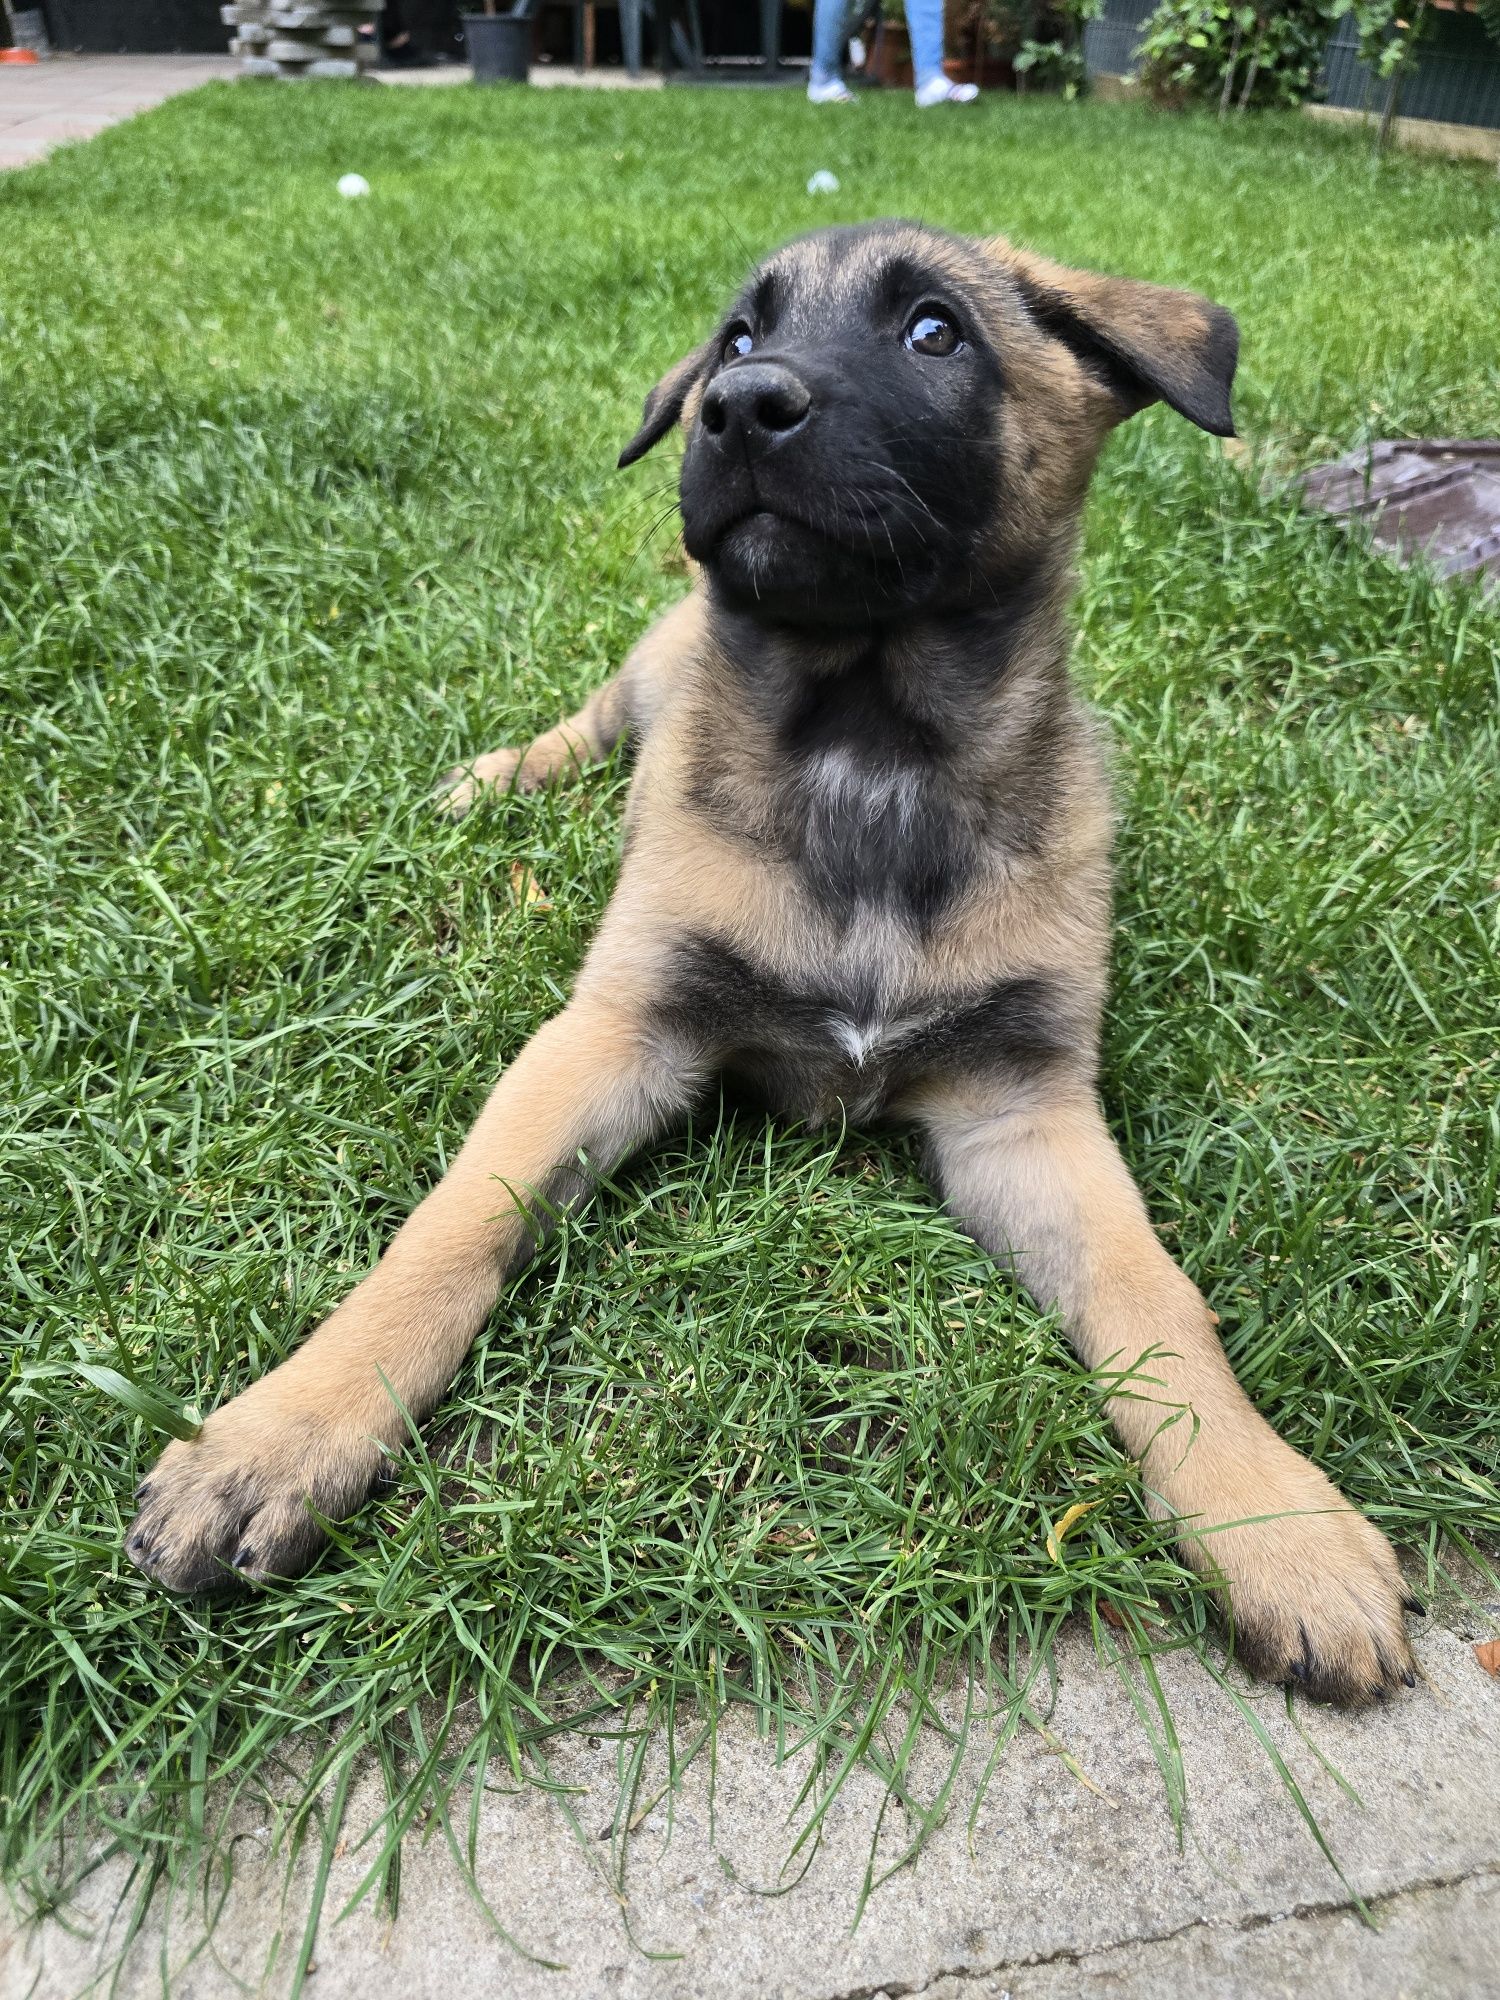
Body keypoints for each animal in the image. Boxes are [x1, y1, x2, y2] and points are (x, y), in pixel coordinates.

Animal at [129, 230, 1424, 1704]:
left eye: (935, 331)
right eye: (740, 332)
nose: (736, 405)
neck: (867, 746)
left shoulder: (1022, 1106)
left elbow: (1156, 1301)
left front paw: (1279, 1523)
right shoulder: (618, 1028)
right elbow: (453, 1225)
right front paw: (278, 1435)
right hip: (647, 661)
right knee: (589, 721)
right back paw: (492, 780)